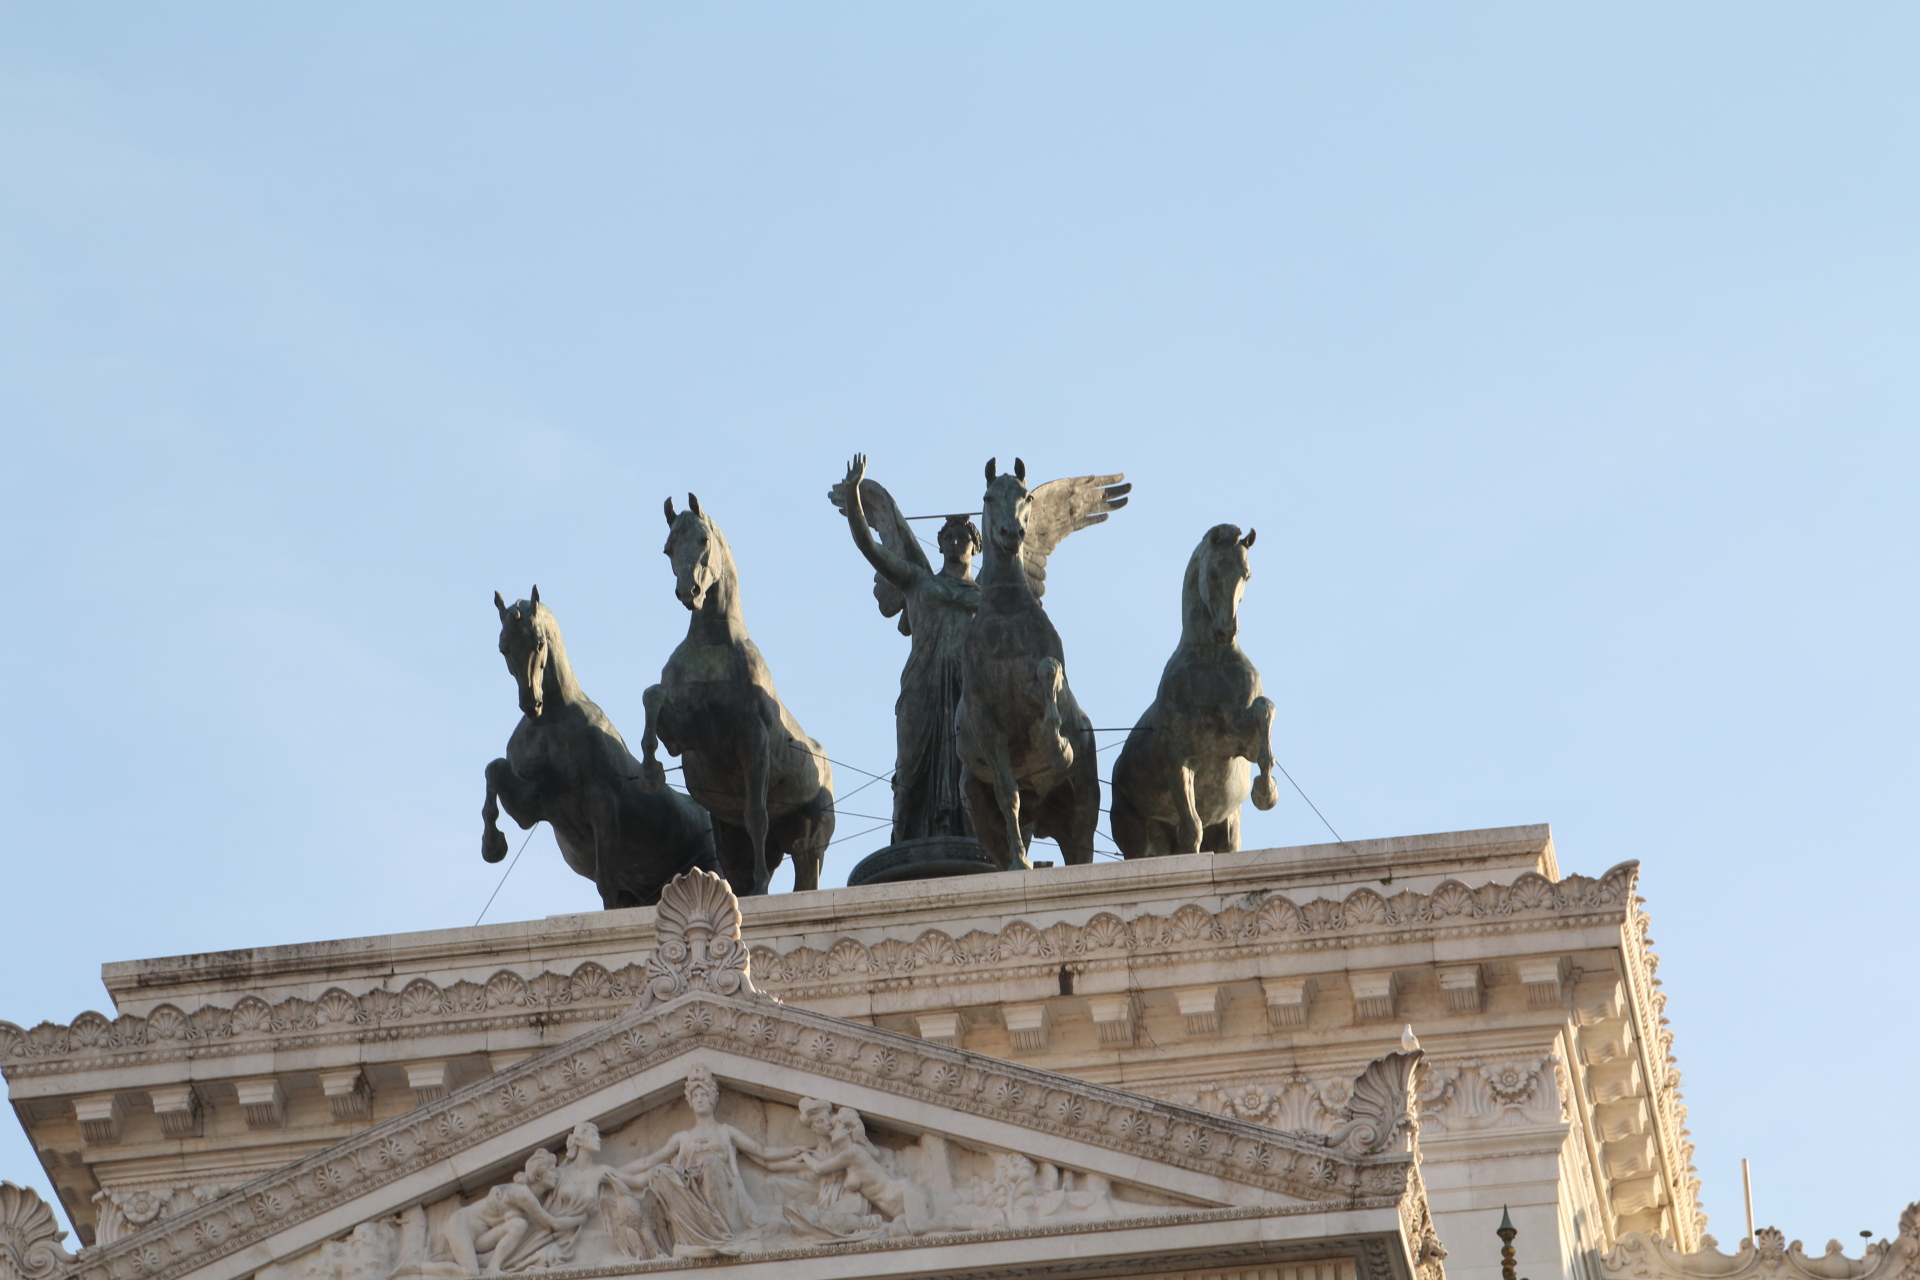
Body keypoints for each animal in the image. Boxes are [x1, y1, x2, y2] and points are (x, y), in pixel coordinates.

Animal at [645, 495, 833, 898]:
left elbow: (756, 815)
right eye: (668, 548)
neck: (713, 645)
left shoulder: (754, 744)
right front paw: (650, 770)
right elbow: (652, 696)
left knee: (803, 866)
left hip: (811, 841)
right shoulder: (684, 737)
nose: (689, 593)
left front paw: (761, 887)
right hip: (732, 837)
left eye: (703, 540)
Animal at [1105, 525, 1282, 855]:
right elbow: (1192, 830)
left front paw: (1265, 792)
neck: (1210, 662)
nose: (1226, 630)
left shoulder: (1242, 744)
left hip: (1227, 831)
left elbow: (1265, 710)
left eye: (1247, 574)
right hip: (1136, 835)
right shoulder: (1179, 760)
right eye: (1212, 572)